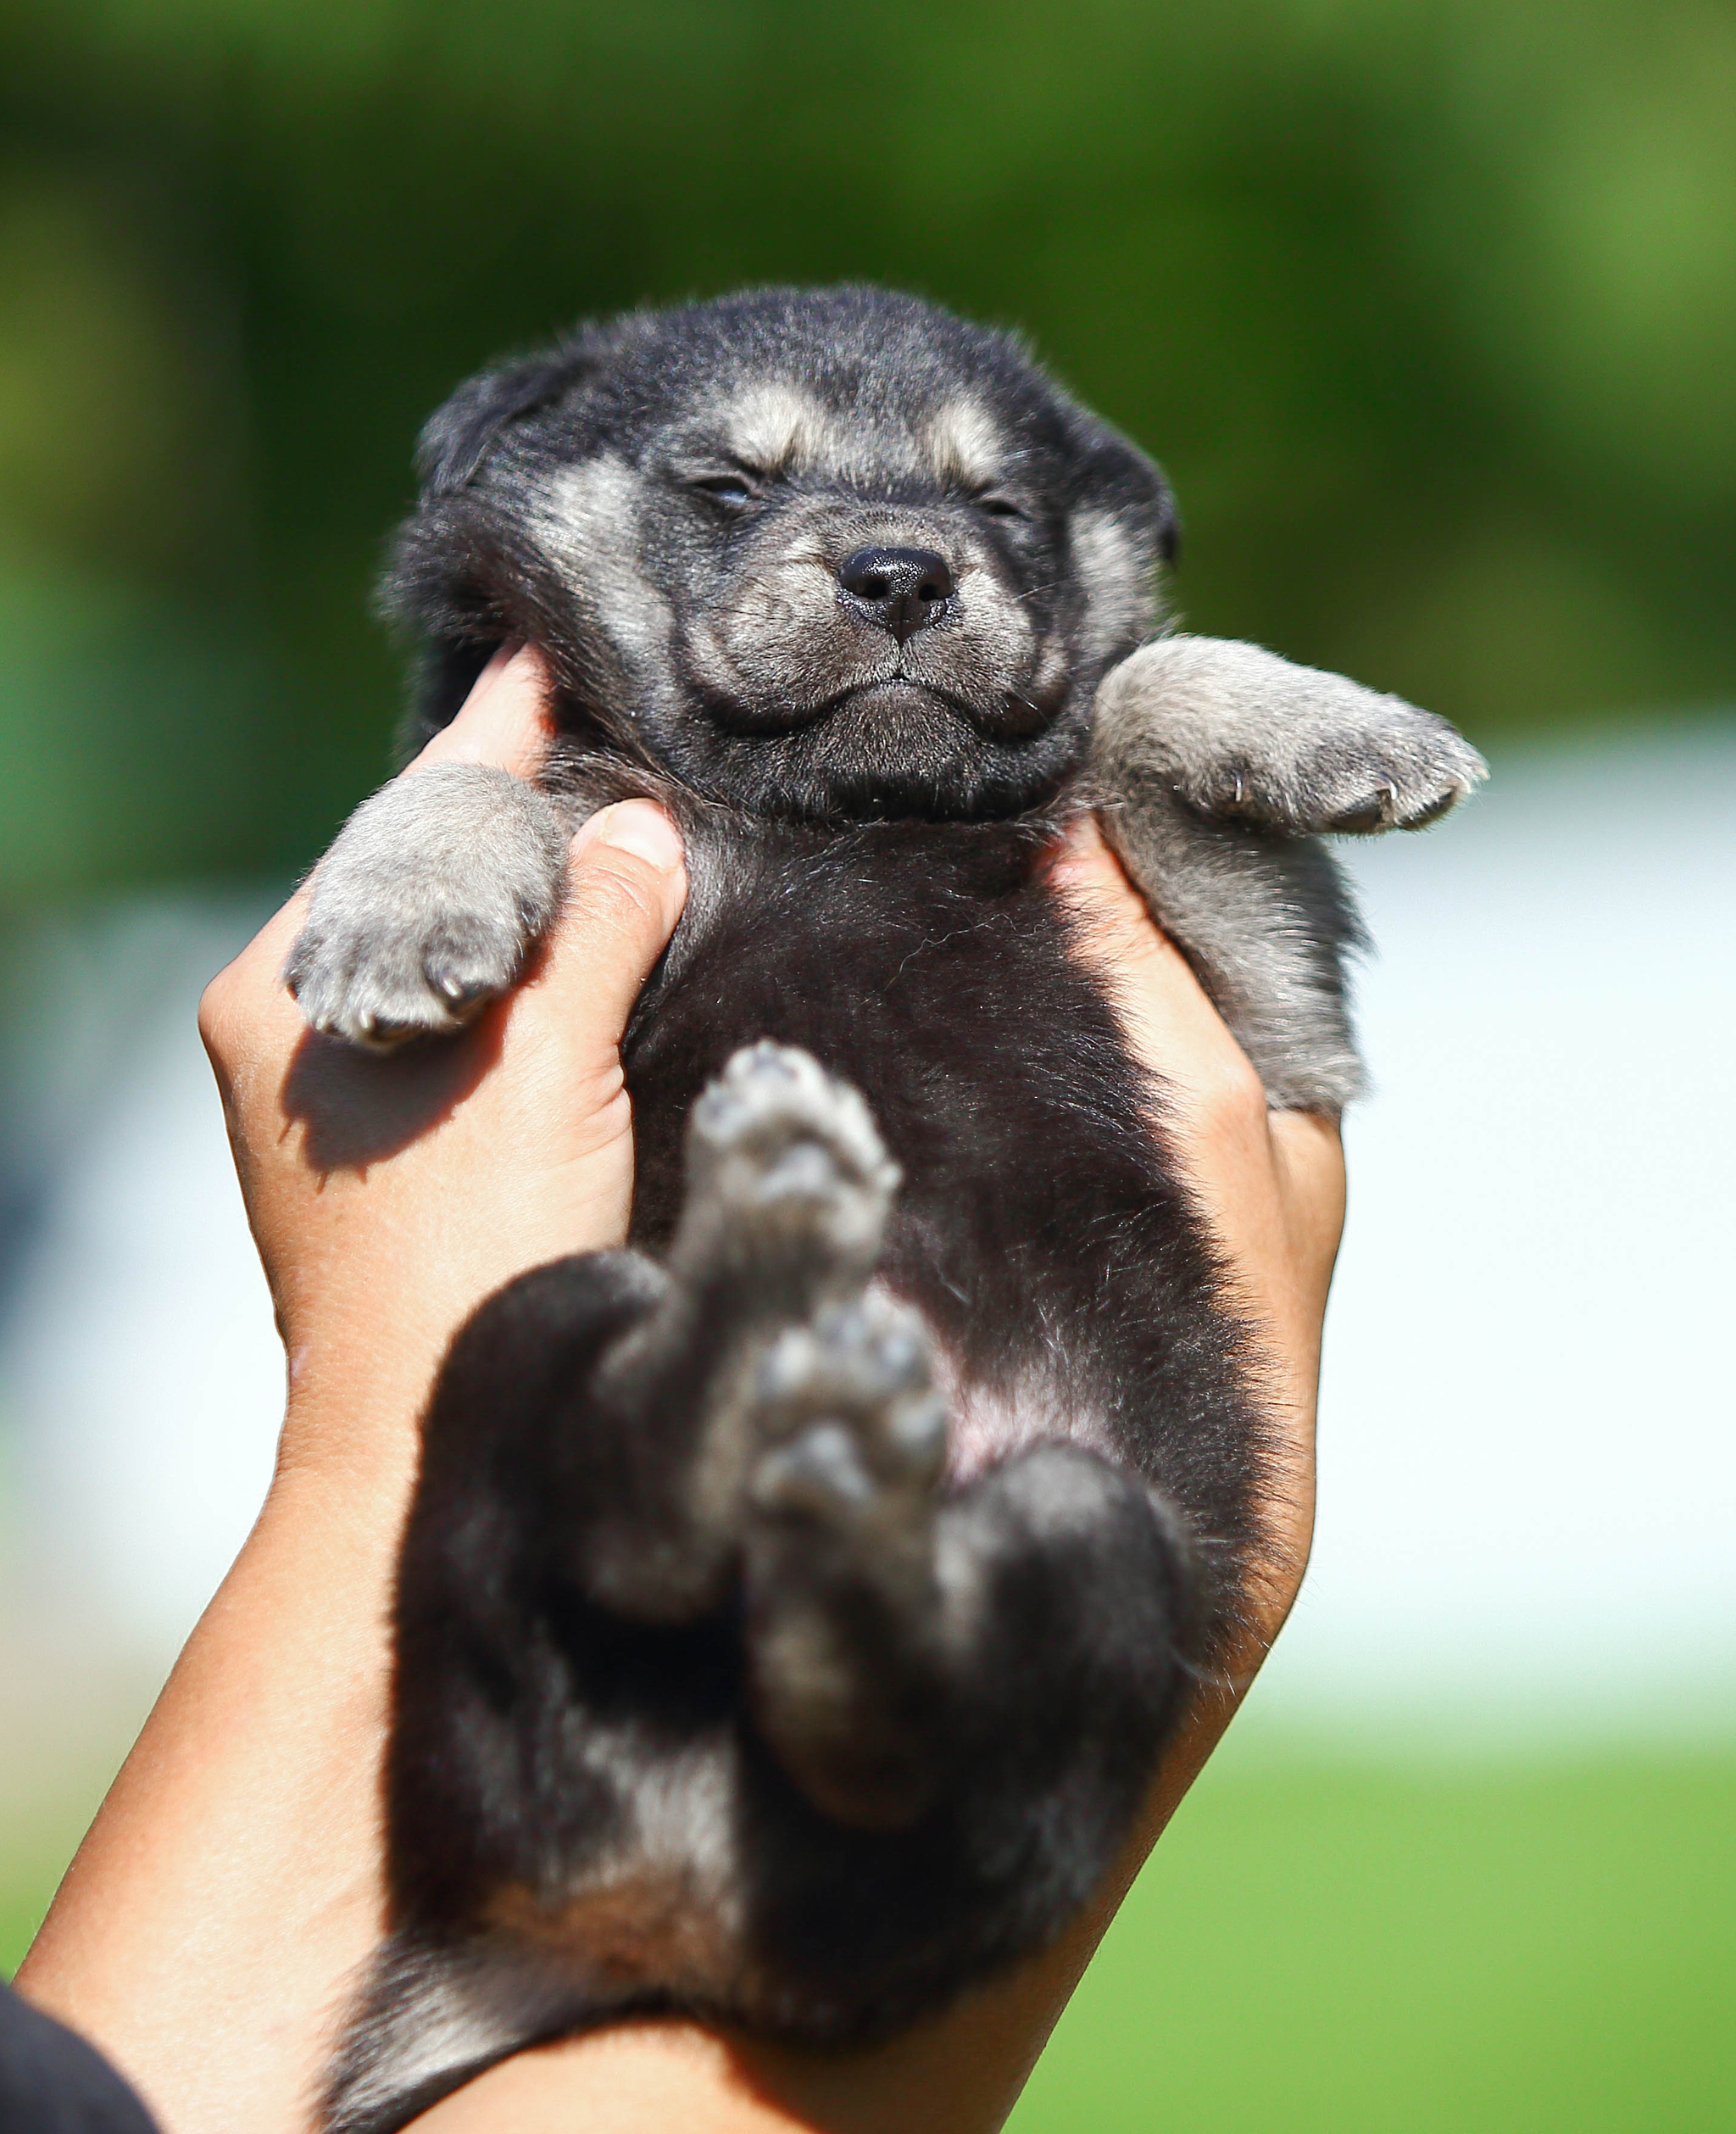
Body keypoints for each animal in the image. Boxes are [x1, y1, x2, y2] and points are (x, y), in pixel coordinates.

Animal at [292, 287, 1493, 2134]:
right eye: (727, 485)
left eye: (999, 506)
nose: (902, 573)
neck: (822, 811)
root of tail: (652, 1910)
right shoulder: (551, 762)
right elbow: (462, 782)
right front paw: (396, 902)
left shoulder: (1276, 1038)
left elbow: (1134, 688)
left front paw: (1337, 732)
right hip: (529, 1340)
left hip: (1088, 1547)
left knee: (886, 1725)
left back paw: (838, 1500)